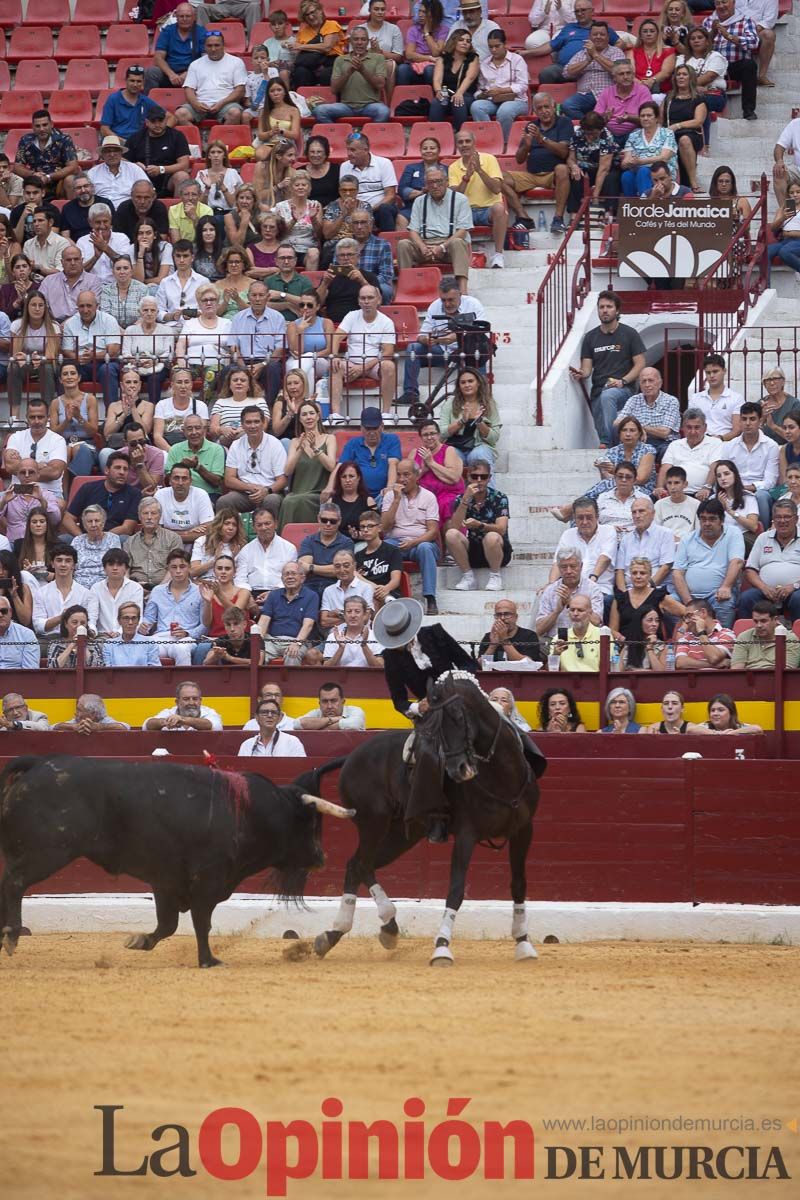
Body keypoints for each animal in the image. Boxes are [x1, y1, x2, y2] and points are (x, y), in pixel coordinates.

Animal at [0, 758, 352, 964]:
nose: (321, 857)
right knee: (14, 882)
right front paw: (208, 960)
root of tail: (38, 764)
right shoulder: (207, 880)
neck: (248, 812)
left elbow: (168, 924)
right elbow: (201, 921)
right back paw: (11, 936)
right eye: (308, 823)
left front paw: (138, 941)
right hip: (49, 850)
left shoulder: (165, 881)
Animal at [311, 676, 544, 964]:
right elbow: (456, 890)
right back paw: (367, 926)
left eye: (459, 716)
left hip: (402, 834)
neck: (502, 774)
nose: (459, 770)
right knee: (360, 863)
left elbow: (519, 883)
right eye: (433, 726)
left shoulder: (523, 830)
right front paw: (442, 947)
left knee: (359, 865)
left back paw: (352, 932)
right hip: (373, 823)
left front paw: (523, 943)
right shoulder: (467, 834)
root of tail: (352, 756)